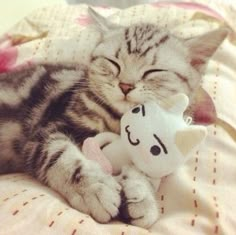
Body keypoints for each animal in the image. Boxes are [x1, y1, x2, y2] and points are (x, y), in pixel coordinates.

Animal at [0, 8, 228, 229]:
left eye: (153, 71)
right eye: (113, 63)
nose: (125, 85)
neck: (118, 119)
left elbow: (145, 169)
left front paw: (143, 196)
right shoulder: (45, 133)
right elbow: (63, 156)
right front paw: (94, 189)